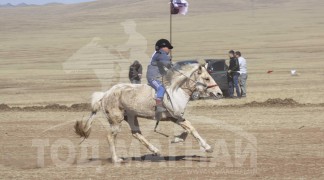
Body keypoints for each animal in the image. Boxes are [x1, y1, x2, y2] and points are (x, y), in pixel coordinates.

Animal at [74, 63, 224, 163]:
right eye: (206, 78)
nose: (219, 93)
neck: (177, 90)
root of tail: (105, 94)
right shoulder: (176, 116)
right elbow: (191, 128)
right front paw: (208, 148)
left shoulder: (175, 117)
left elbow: (188, 129)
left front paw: (177, 139)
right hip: (116, 120)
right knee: (111, 137)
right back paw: (116, 159)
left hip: (131, 117)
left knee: (136, 134)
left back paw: (155, 150)